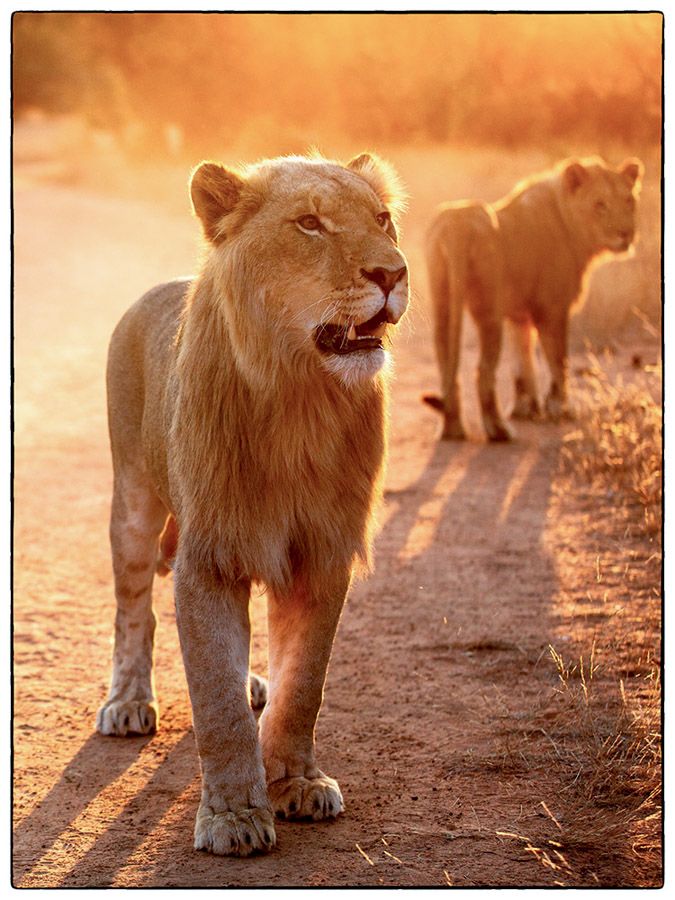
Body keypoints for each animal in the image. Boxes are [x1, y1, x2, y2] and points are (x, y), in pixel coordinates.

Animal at [95, 151, 410, 856]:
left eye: (381, 219)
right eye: (310, 224)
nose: (393, 273)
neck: (300, 399)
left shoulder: (321, 552)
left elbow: (303, 686)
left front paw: (297, 783)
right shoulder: (210, 555)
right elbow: (217, 704)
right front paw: (234, 816)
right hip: (133, 498)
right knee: (134, 610)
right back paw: (127, 701)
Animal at [422, 156, 644, 442]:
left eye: (628, 201)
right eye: (599, 205)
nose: (626, 233)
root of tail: (455, 225)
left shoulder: (519, 316)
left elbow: (522, 364)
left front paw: (526, 409)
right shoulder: (552, 309)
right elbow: (558, 361)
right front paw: (560, 409)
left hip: (443, 303)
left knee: (446, 360)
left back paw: (452, 429)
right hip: (489, 312)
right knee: (483, 371)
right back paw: (499, 431)